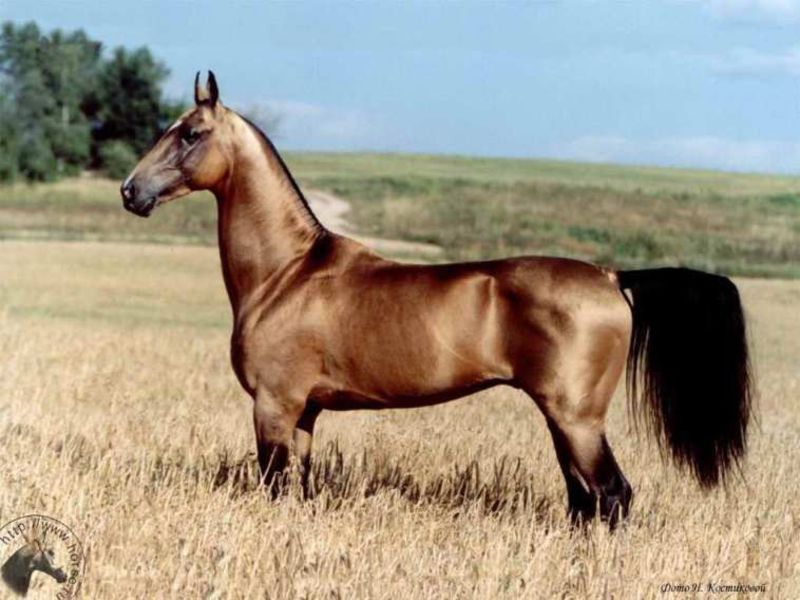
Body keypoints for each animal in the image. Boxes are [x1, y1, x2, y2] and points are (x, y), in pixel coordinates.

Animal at [121, 72, 751, 526]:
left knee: (612, 495)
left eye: (190, 133)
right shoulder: (305, 412)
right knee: (584, 499)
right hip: (563, 419)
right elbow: (299, 490)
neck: (287, 274)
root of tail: (610, 274)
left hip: (578, 420)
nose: (131, 191)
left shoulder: (274, 406)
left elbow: (275, 489)